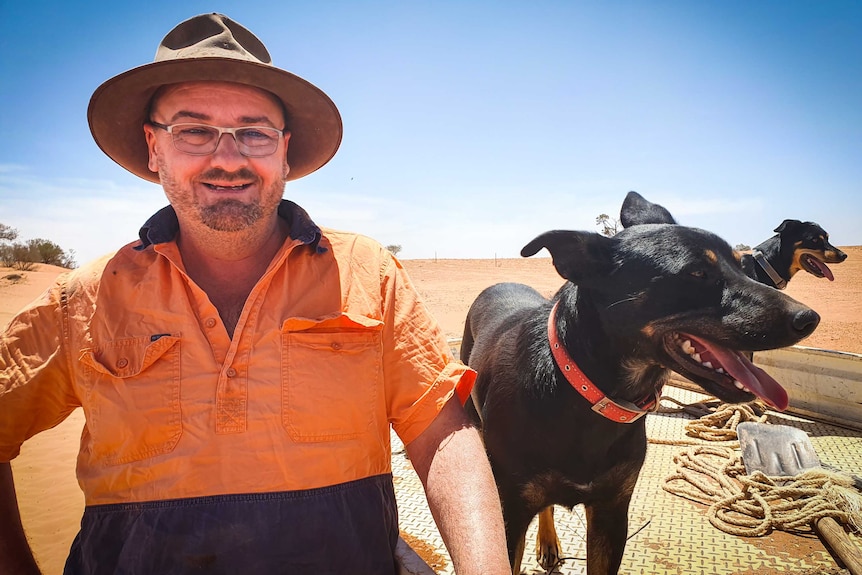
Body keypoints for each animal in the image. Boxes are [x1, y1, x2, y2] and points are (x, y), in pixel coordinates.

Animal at [462, 196, 820, 572]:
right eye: (696, 272)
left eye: (741, 264)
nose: (810, 318)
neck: (587, 394)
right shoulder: (509, 514)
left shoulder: (612, 512)